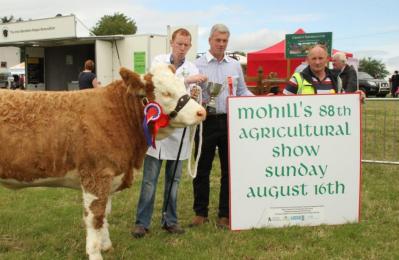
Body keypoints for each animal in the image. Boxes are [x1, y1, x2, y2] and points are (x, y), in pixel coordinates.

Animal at [0, 64, 206, 258]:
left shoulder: (110, 175)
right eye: (166, 93)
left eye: (183, 85)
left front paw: (106, 245)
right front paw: (94, 252)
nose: (201, 112)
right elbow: (95, 216)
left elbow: (105, 212)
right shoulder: (96, 175)